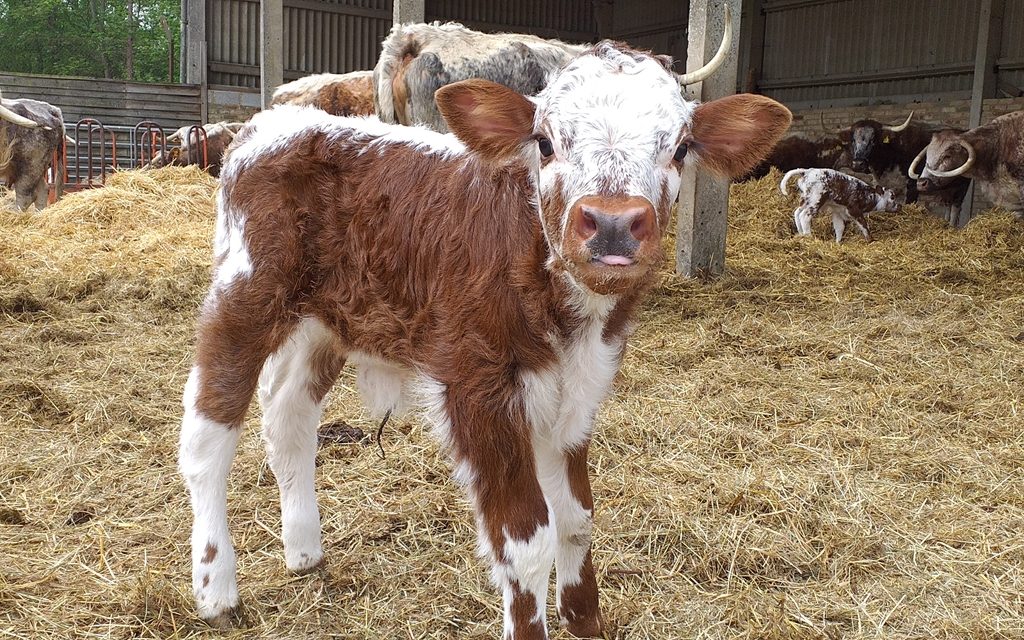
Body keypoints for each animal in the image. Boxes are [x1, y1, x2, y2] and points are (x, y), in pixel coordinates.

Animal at [178, 40, 791, 639]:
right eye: (545, 142)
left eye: (681, 148)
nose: (614, 224)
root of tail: (269, 123)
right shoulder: (477, 388)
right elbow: (526, 541)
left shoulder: (581, 388)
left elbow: (577, 517)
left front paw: (584, 618)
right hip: (245, 294)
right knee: (208, 436)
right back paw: (216, 589)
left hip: (325, 323)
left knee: (289, 421)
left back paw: (304, 551)